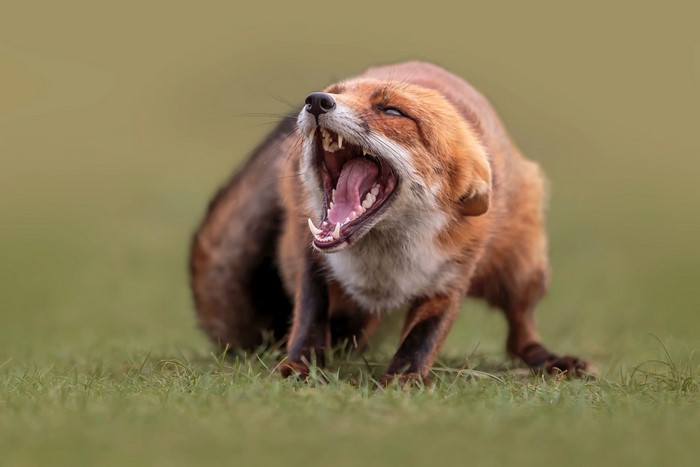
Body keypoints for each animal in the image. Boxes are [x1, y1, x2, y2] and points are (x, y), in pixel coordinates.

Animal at [189, 61, 588, 383]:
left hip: (525, 270)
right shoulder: (310, 254)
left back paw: (547, 358)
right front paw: (299, 367)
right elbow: (309, 319)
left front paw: (403, 380)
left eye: (393, 110)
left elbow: (422, 338)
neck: (383, 265)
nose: (316, 100)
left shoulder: (452, 272)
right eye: (335, 93)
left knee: (519, 332)